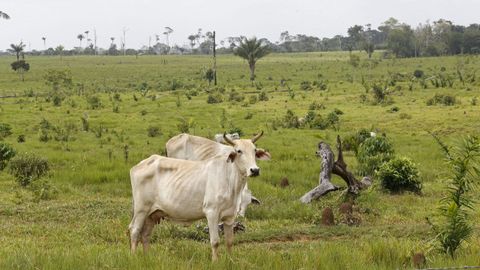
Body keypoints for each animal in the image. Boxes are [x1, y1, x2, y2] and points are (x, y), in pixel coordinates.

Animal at [127, 134, 270, 260]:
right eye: (239, 151)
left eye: (254, 150)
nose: (254, 170)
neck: (231, 181)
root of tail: (143, 162)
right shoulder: (211, 212)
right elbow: (215, 241)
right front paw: (215, 262)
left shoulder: (230, 217)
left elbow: (229, 241)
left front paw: (230, 261)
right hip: (141, 209)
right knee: (134, 230)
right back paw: (133, 257)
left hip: (153, 214)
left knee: (145, 234)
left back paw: (147, 258)